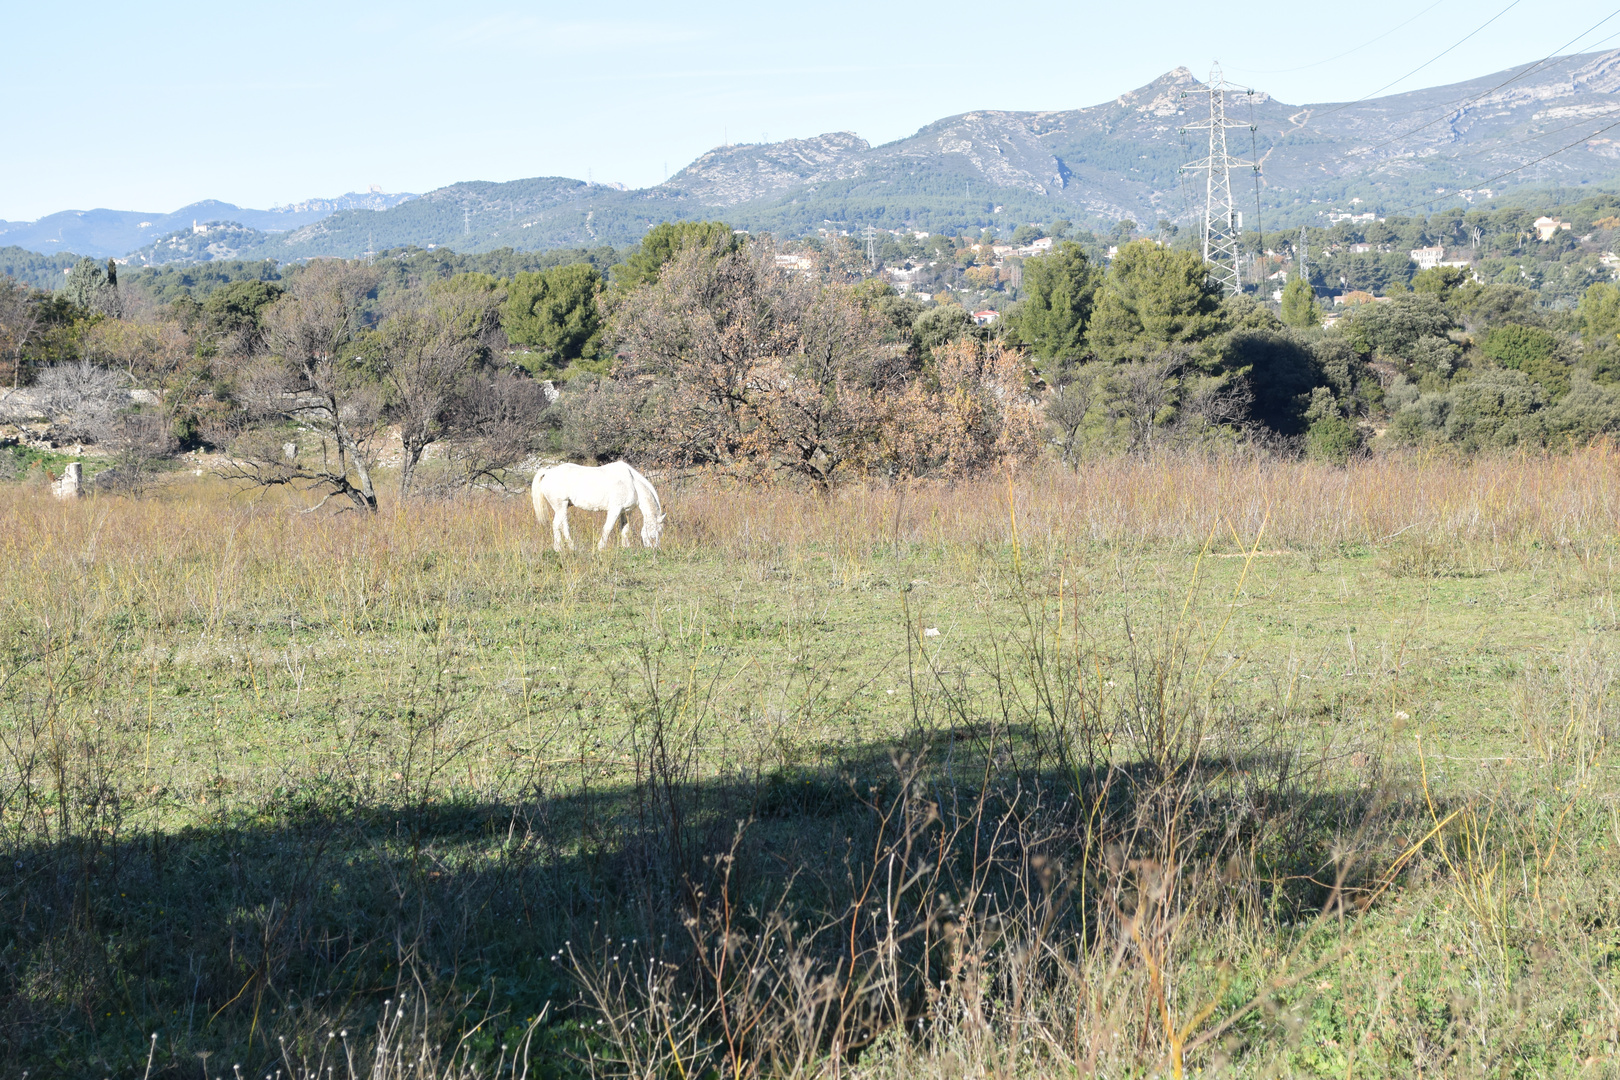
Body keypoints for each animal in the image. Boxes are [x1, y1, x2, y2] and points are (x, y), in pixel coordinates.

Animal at [528, 459, 660, 553]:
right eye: (657, 532)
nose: (655, 550)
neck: (632, 483)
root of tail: (548, 472)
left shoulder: (625, 512)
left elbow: (625, 530)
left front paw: (626, 547)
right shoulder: (615, 510)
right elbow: (607, 529)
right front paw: (600, 547)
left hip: (560, 508)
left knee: (558, 525)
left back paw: (561, 548)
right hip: (561, 506)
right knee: (562, 526)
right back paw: (568, 547)